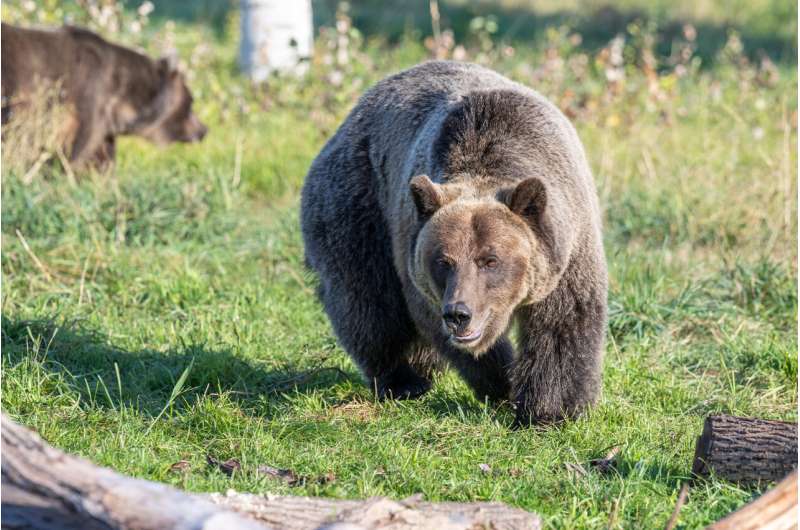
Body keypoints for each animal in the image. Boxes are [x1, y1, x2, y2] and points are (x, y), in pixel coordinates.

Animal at [0, 23, 206, 169]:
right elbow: (71, 154)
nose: (204, 130)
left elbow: (102, 161)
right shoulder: (85, 101)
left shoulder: (104, 128)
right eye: (191, 103)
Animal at [300, 60, 608, 424]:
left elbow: (562, 322)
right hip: (358, 206)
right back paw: (404, 380)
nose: (459, 314)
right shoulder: (417, 261)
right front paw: (502, 383)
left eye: (491, 260)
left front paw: (549, 410)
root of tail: (348, 121)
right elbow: (435, 323)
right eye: (443, 261)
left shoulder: (568, 248)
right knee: (367, 300)